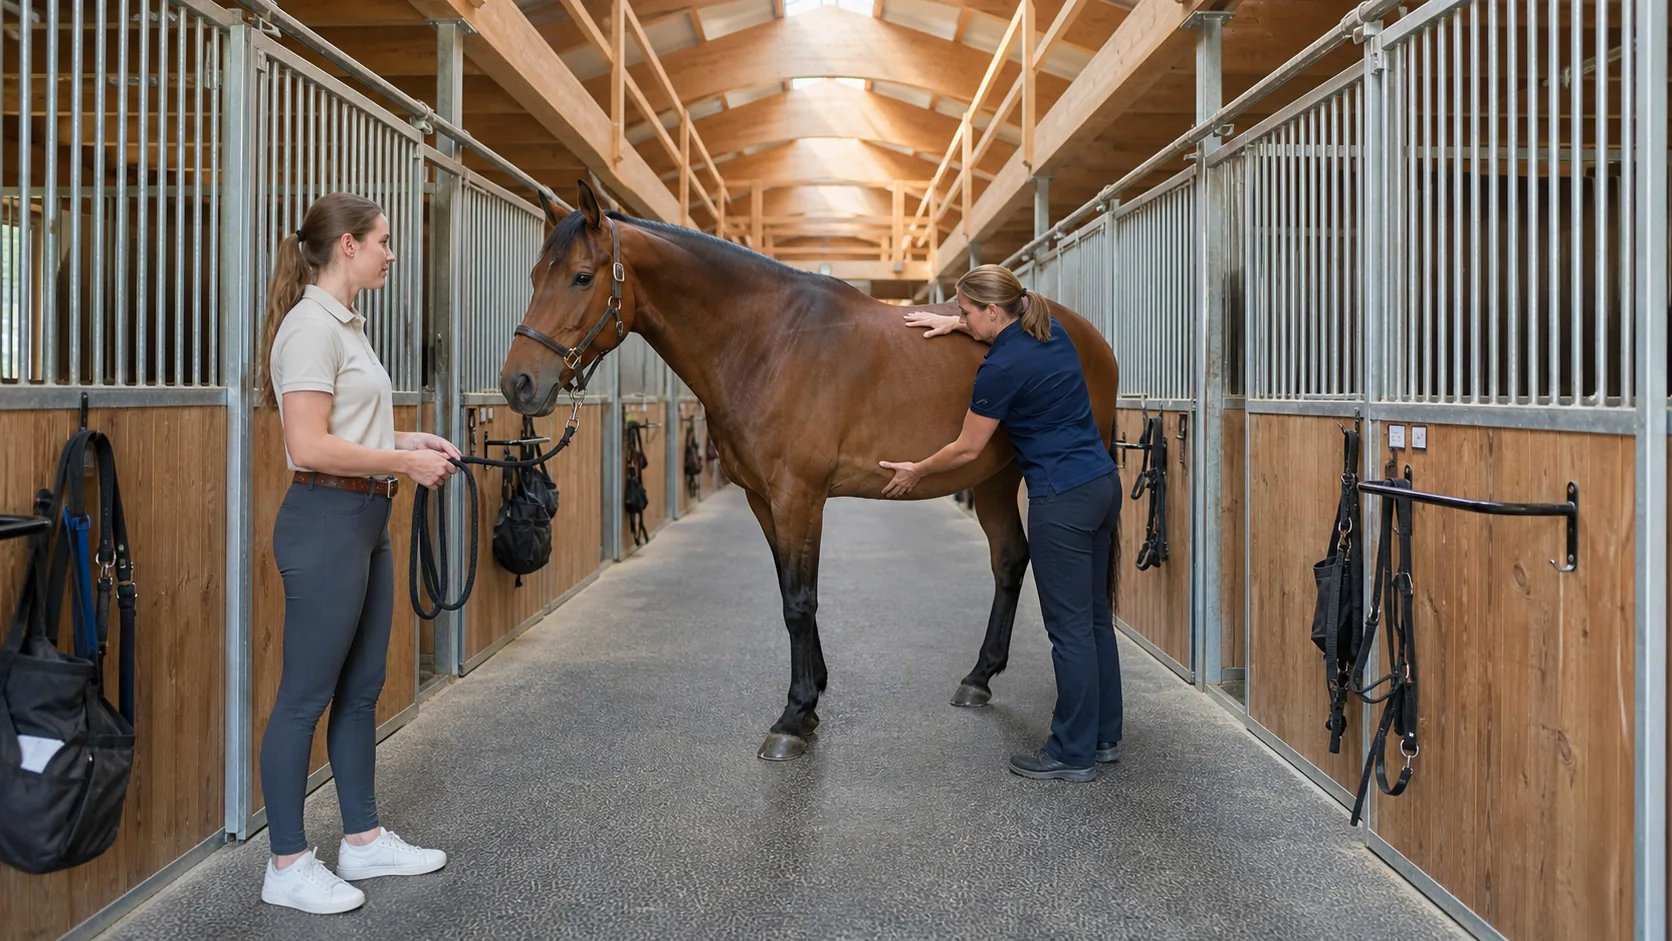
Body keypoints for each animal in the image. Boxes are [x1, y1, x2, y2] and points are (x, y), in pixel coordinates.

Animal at [499, 180, 1123, 761]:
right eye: (533, 274)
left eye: (582, 277)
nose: (518, 384)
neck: (769, 343)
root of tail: (1086, 335)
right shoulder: (764, 499)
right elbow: (790, 592)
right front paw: (814, 697)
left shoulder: (798, 496)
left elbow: (800, 602)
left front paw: (793, 718)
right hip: (994, 477)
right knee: (1009, 560)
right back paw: (978, 678)